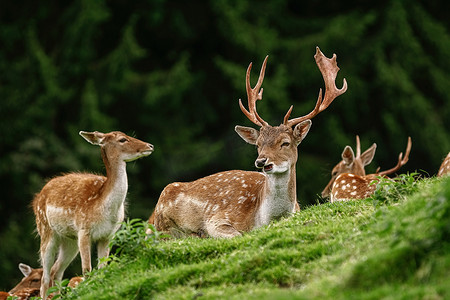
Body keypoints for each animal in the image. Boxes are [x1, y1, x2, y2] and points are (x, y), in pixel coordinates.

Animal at [32, 131, 153, 298]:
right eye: (122, 139)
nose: (150, 146)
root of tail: (37, 198)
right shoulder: (84, 230)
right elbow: (87, 270)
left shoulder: (108, 235)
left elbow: (103, 268)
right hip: (45, 230)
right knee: (45, 277)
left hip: (70, 240)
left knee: (56, 271)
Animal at [151, 47, 348, 238]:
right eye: (258, 144)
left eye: (285, 143)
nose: (261, 161)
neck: (264, 218)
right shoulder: (217, 218)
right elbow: (238, 234)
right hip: (163, 217)